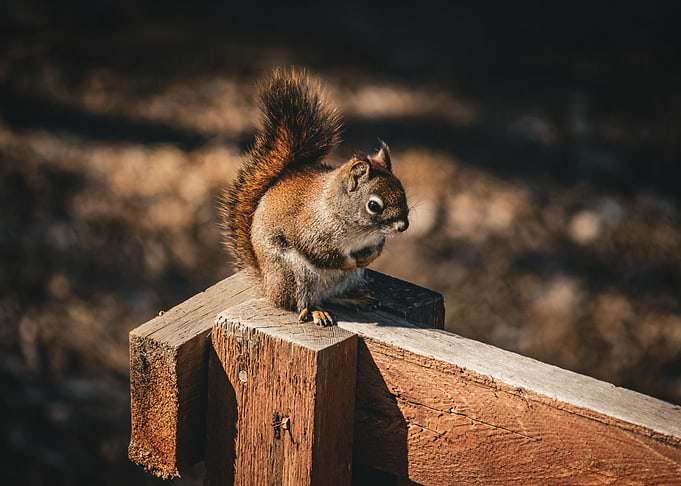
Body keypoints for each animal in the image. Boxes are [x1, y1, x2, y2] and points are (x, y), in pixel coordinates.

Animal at [220, 68, 409, 326]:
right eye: (373, 205)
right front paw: (350, 261)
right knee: (301, 303)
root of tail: (268, 286)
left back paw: (354, 299)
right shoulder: (311, 231)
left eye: (402, 190)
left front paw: (366, 259)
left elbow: (374, 251)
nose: (403, 226)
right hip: (294, 275)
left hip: (346, 280)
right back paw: (315, 311)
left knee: (333, 296)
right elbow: (320, 252)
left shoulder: (374, 240)